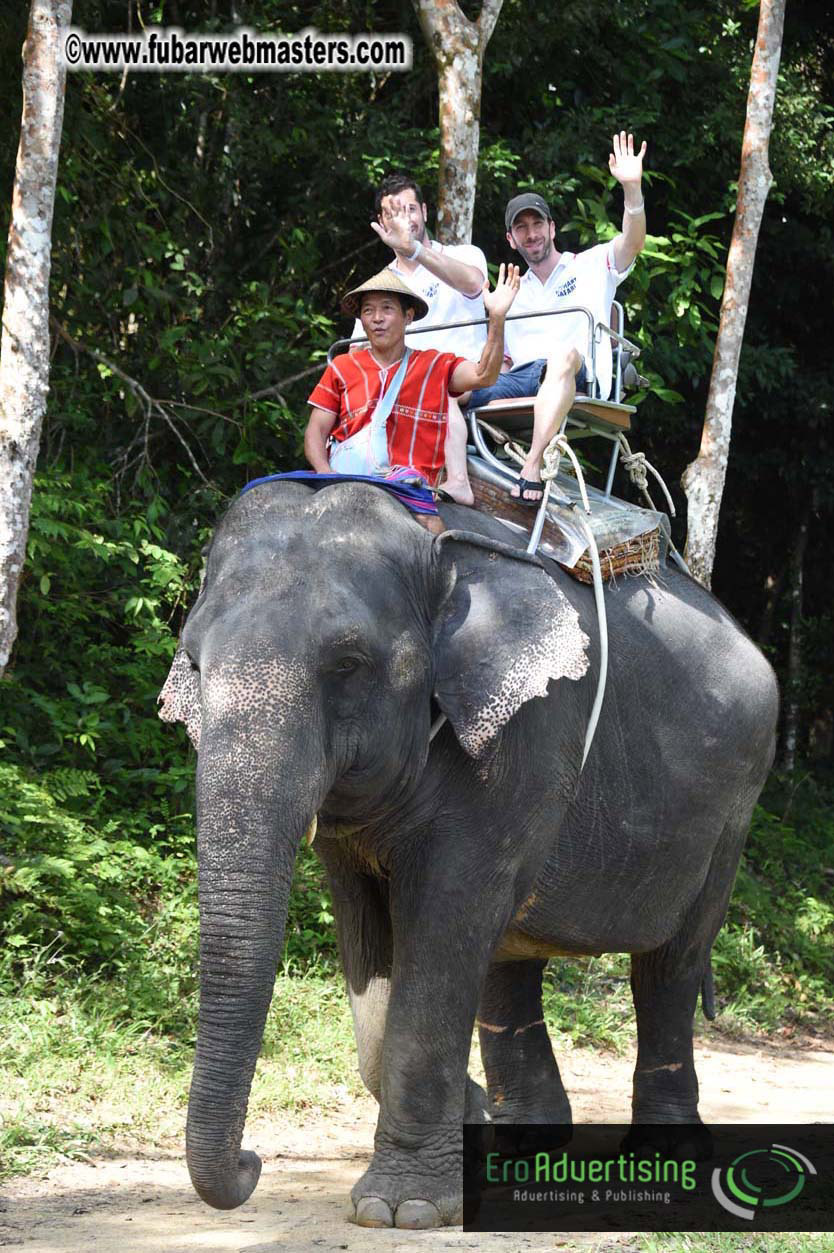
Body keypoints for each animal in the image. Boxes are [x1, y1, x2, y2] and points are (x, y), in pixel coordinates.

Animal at [158, 477, 778, 1229]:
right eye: (193, 663)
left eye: (347, 665)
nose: (252, 1162)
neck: (435, 552)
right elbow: (372, 953)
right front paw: (466, 1124)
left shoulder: (528, 734)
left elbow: (444, 922)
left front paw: (402, 1208)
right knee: (510, 961)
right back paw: (522, 1149)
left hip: (732, 809)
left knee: (668, 965)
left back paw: (663, 1158)